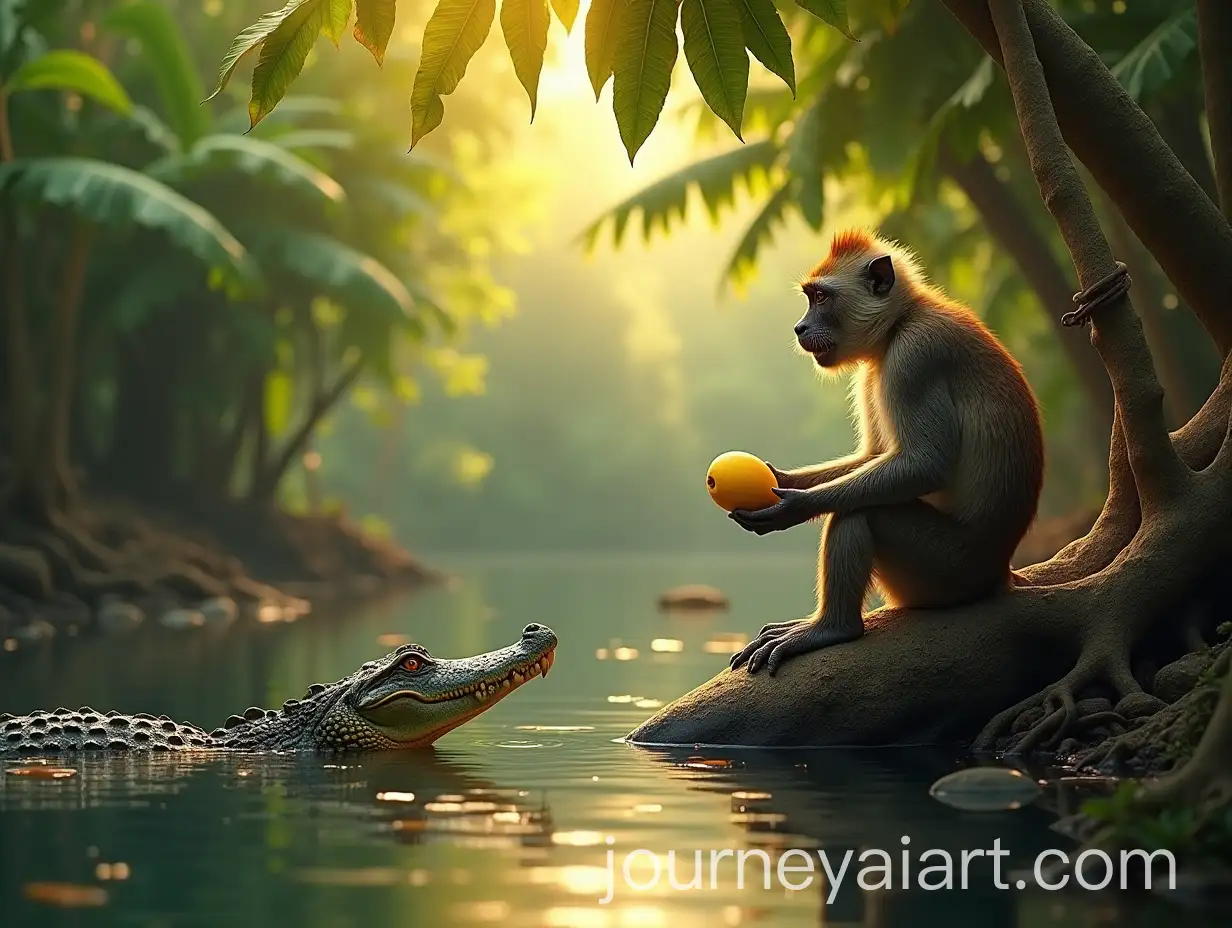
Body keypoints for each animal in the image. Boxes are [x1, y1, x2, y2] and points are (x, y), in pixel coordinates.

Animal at [728, 228, 1045, 677]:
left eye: (821, 298)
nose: (800, 327)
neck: (902, 322)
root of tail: (1000, 572)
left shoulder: (913, 357)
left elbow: (925, 464)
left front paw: (797, 505)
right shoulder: (873, 369)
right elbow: (875, 455)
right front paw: (783, 480)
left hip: (948, 569)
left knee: (862, 511)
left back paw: (832, 628)